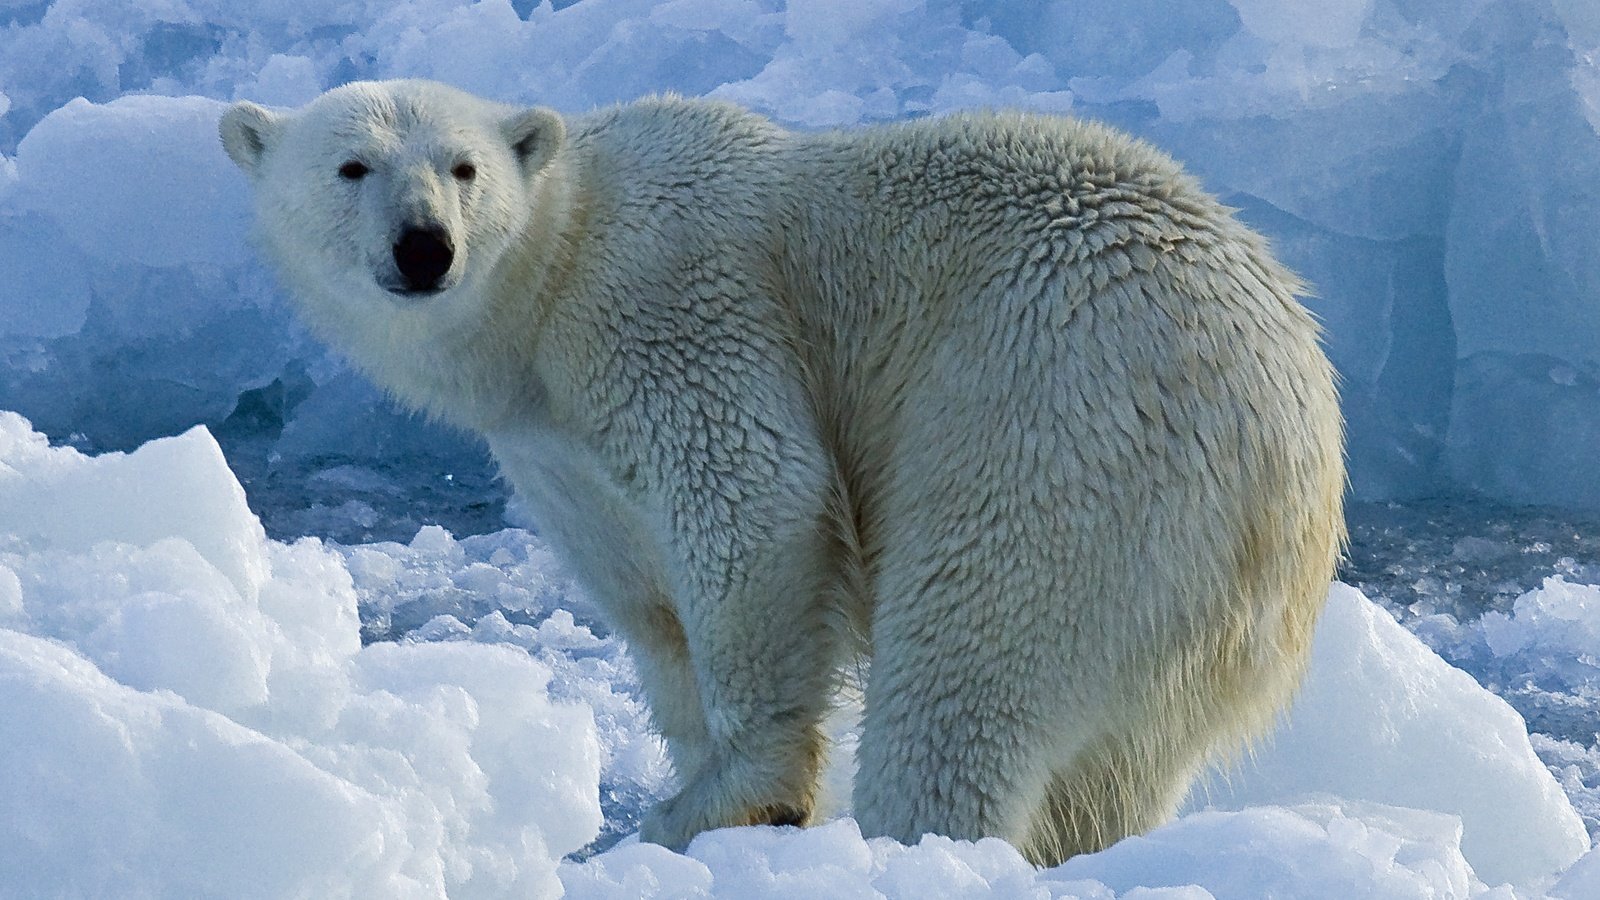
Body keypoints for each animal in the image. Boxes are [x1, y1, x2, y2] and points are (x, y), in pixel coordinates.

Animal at [219, 82, 1344, 864]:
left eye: (461, 167)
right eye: (352, 165)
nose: (425, 247)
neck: (552, 274)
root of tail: (1297, 434)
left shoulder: (667, 302)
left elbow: (754, 498)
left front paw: (732, 800)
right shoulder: (552, 447)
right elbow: (651, 608)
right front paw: (697, 780)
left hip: (1052, 421)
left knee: (969, 663)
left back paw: (908, 847)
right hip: (1184, 605)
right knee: (1115, 768)